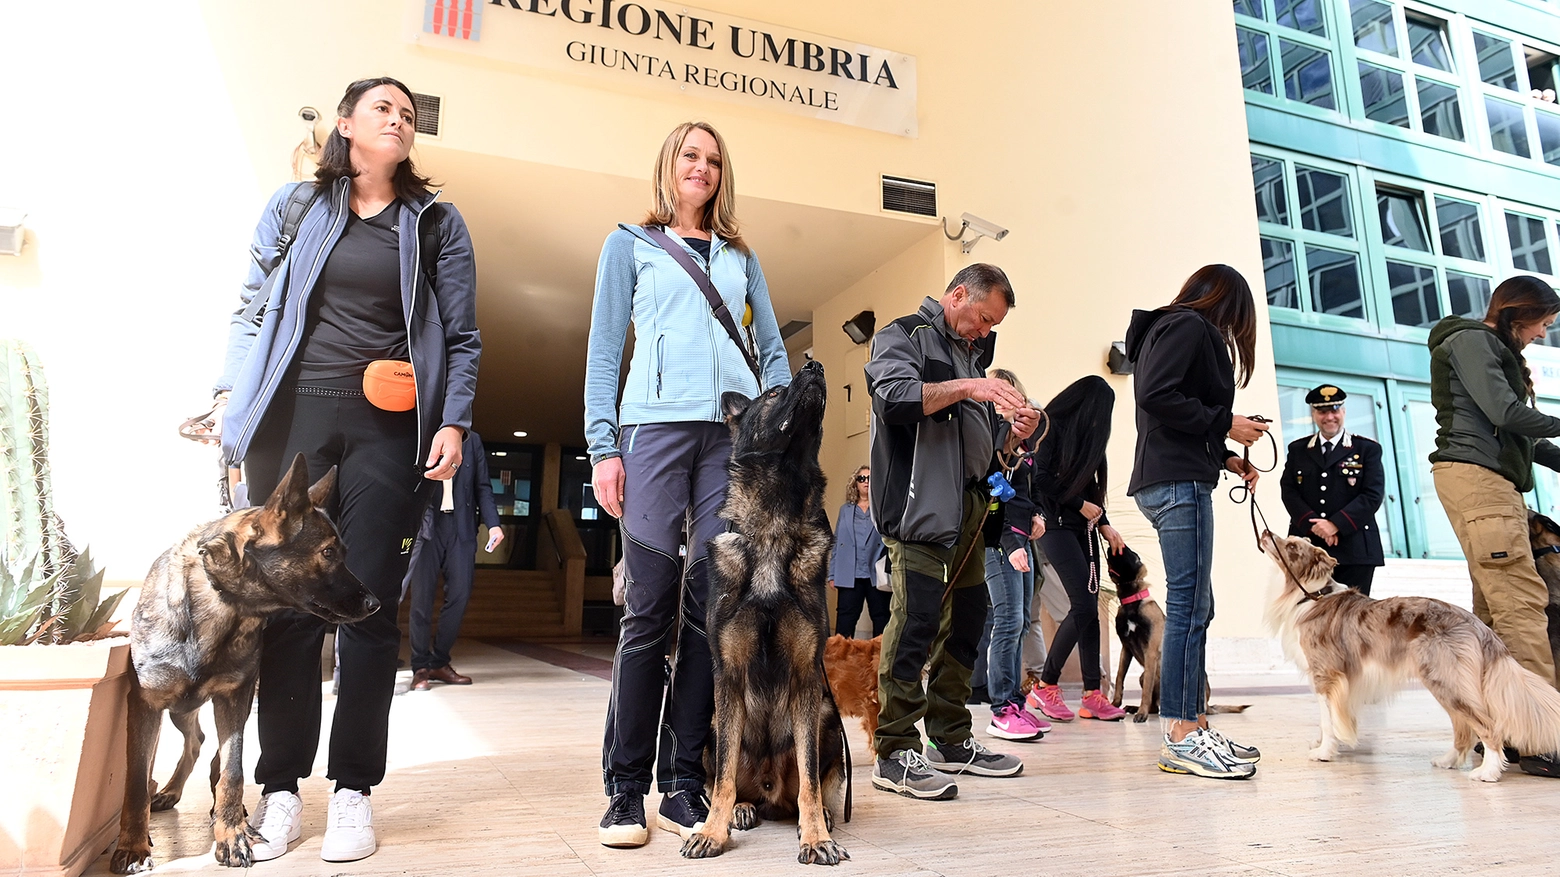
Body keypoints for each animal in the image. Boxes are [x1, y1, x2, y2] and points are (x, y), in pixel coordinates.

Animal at [110, 452, 380, 867]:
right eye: (328, 553)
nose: (375, 604)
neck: (225, 604)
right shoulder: (146, 704)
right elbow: (136, 779)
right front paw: (133, 845)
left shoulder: (234, 699)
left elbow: (232, 772)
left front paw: (231, 833)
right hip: (174, 710)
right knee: (186, 745)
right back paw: (168, 791)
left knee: (205, 748)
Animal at [686, 358, 854, 861]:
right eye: (775, 392)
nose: (815, 365)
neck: (774, 528)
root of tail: (767, 790)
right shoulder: (729, 676)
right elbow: (722, 777)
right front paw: (712, 830)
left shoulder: (806, 678)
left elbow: (812, 781)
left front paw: (816, 835)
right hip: (714, 721)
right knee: (728, 776)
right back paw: (742, 808)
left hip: (826, 716)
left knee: (811, 782)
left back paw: (824, 818)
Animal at [1260, 524, 1560, 777]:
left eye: (1291, 547)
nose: (1264, 531)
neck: (1311, 594)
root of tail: (1478, 625)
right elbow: (1332, 718)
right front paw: (1326, 744)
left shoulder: (1325, 674)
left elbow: (1327, 718)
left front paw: (1324, 752)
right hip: (1446, 683)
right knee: (1463, 729)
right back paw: (1448, 760)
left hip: (1447, 681)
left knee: (1486, 726)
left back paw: (1487, 772)